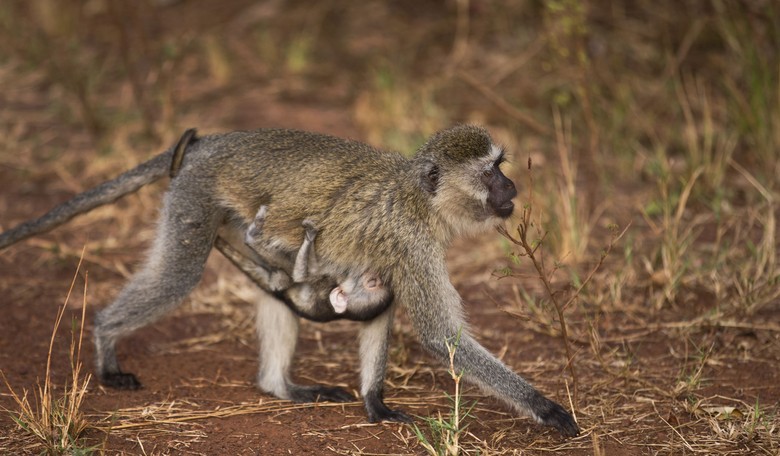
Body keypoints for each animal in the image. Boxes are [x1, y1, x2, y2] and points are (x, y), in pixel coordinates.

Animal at [244, 205, 390, 316]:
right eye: (375, 281)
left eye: (371, 283)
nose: (376, 273)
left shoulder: (326, 284)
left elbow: (301, 275)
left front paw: (310, 235)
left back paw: (253, 236)